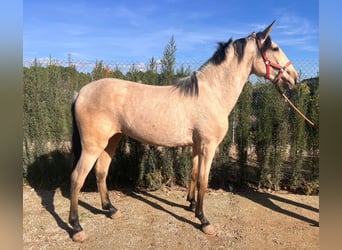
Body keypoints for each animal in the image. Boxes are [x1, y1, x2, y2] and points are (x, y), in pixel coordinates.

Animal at [69, 21, 296, 242]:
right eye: (275, 48)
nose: (294, 77)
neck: (212, 93)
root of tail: (81, 92)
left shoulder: (196, 145)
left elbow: (194, 174)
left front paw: (191, 205)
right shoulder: (208, 146)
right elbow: (204, 180)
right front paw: (204, 220)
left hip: (112, 140)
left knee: (101, 172)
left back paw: (111, 210)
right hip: (92, 146)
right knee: (77, 178)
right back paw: (77, 227)